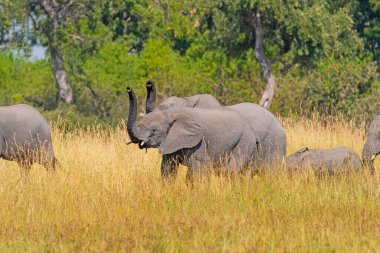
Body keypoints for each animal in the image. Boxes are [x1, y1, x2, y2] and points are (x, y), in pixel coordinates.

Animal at [126, 87, 260, 180]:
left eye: (154, 130)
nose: (128, 88)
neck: (171, 114)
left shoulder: (199, 142)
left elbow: (200, 168)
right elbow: (167, 169)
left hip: (244, 141)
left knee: (230, 171)